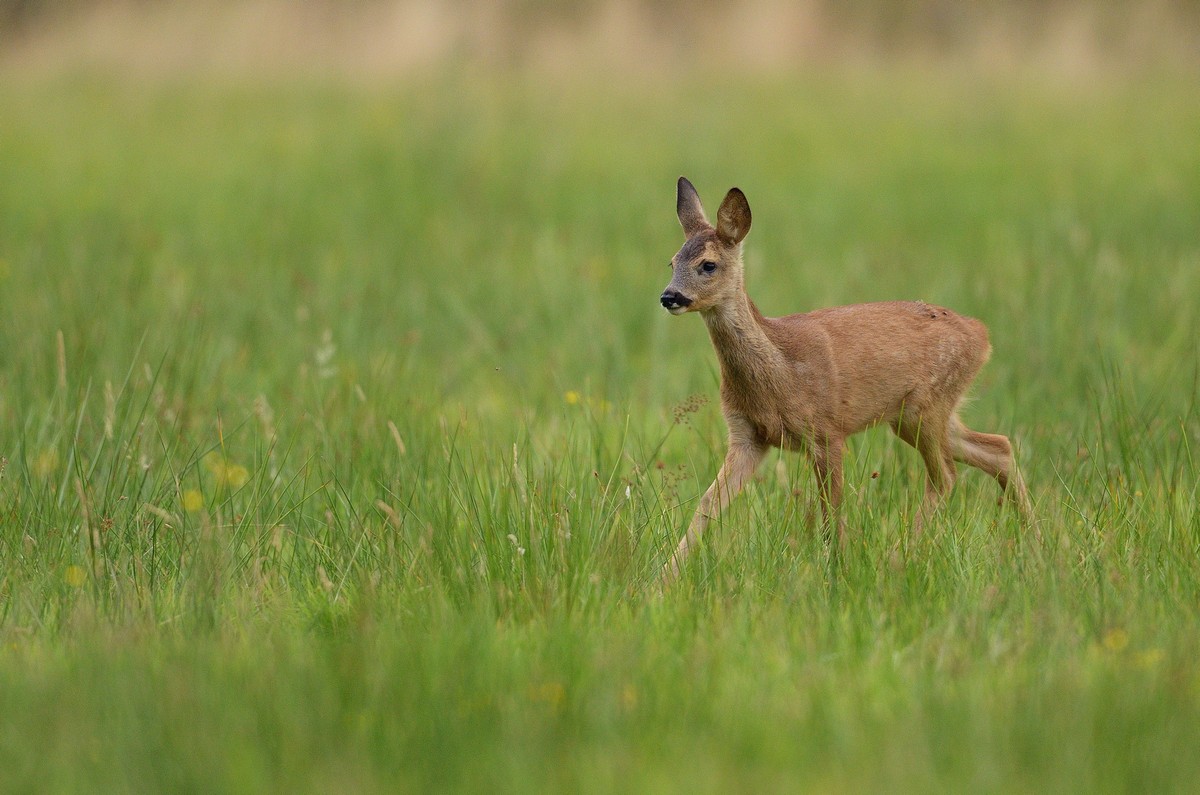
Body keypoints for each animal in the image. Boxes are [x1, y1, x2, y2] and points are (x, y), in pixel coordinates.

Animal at [657, 177, 1032, 583]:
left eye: (707, 264)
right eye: (672, 261)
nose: (669, 296)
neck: (780, 370)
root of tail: (982, 335)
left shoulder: (826, 431)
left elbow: (830, 509)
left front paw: (834, 571)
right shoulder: (748, 437)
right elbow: (708, 503)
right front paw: (662, 579)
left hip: (925, 406)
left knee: (946, 475)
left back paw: (897, 557)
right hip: (920, 414)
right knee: (998, 448)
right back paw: (1035, 541)